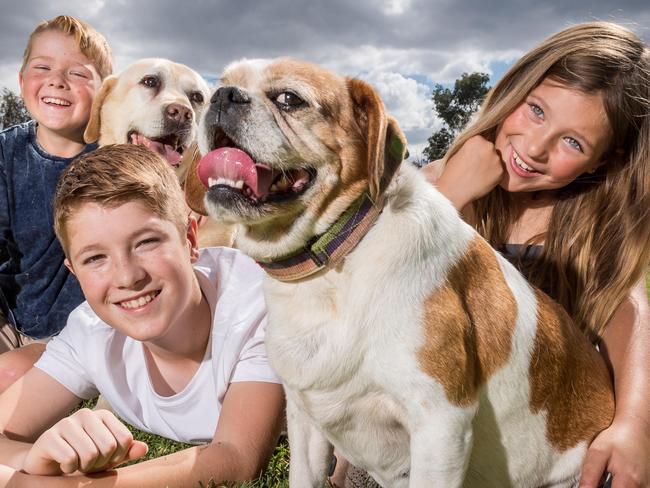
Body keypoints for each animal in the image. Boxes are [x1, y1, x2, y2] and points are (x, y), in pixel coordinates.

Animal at [184, 59, 612, 486]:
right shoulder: (305, 420)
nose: (222, 96)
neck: (335, 266)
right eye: (220, 85)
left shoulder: (440, 426)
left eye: (290, 98)